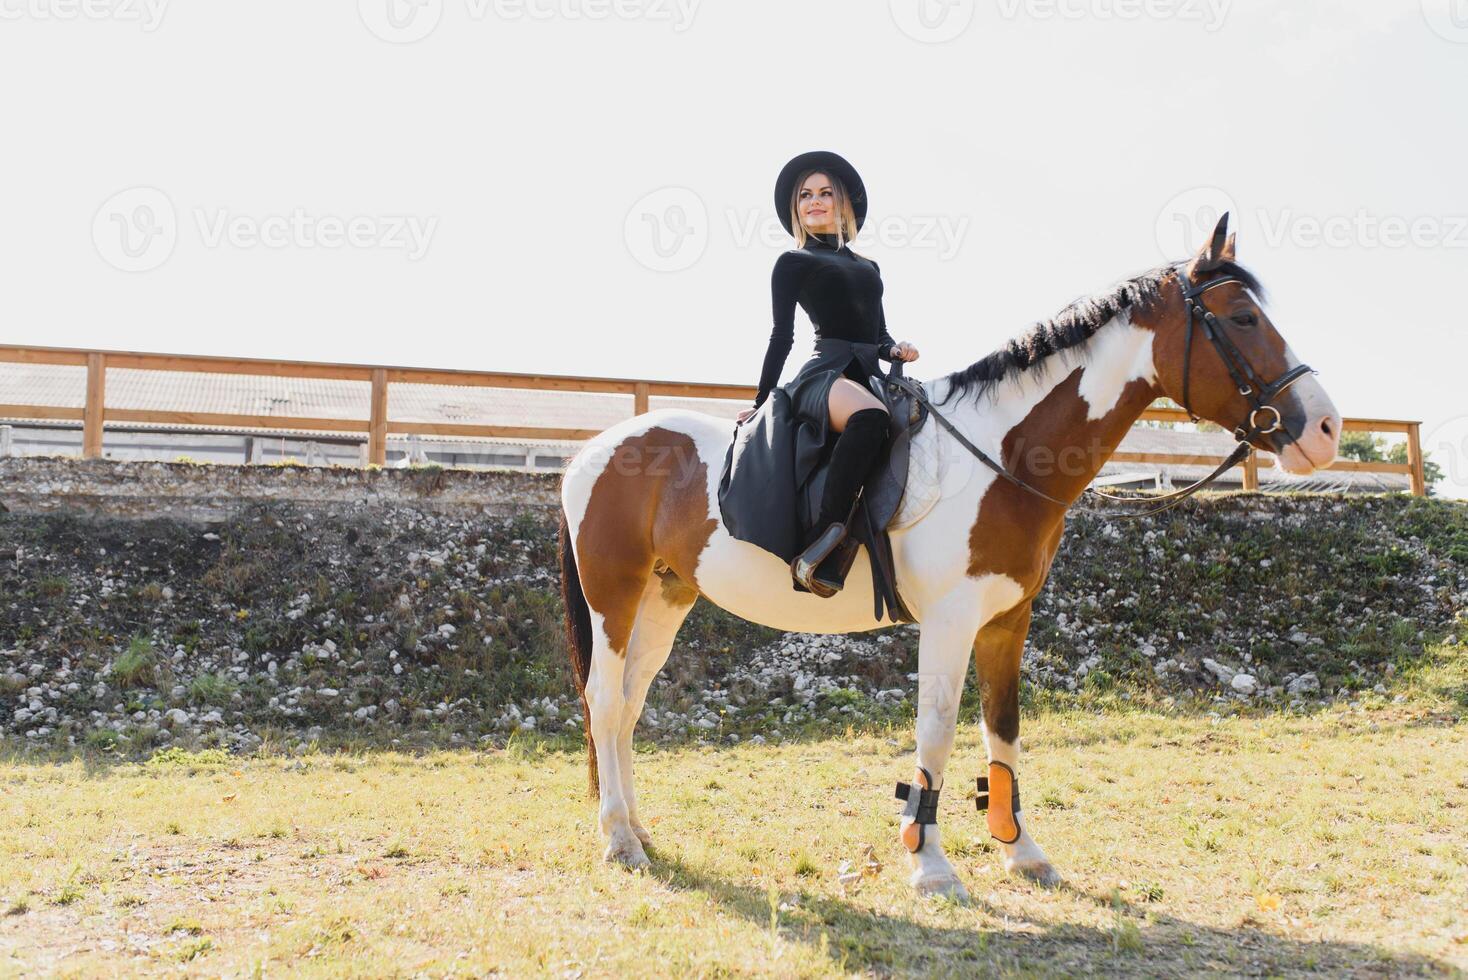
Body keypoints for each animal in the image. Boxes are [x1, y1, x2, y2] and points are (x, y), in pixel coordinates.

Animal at [551, 215, 1344, 903]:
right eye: (1242, 319)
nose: (1327, 428)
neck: (1002, 453)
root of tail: (592, 452)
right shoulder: (949, 622)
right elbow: (935, 734)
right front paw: (930, 865)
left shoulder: (1007, 621)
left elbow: (1004, 730)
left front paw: (1021, 851)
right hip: (614, 599)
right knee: (604, 701)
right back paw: (618, 840)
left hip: (666, 599)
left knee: (627, 708)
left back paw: (636, 828)